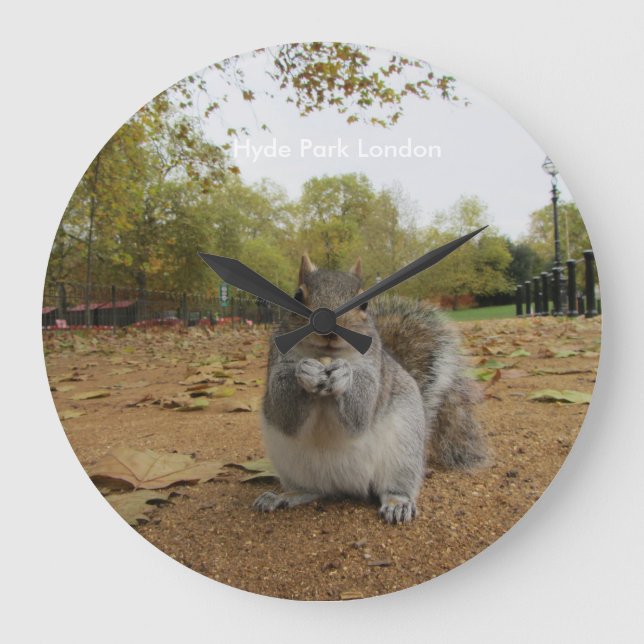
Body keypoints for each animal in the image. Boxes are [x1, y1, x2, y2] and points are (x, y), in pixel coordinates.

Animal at [254, 254, 489, 524]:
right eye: (297, 295)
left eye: (364, 305)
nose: (329, 331)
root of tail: (346, 485)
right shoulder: (276, 364)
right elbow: (284, 411)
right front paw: (306, 371)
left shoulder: (373, 373)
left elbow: (362, 411)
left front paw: (345, 374)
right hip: (291, 464)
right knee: (313, 490)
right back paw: (282, 496)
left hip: (403, 453)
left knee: (393, 486)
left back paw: (398, 503)